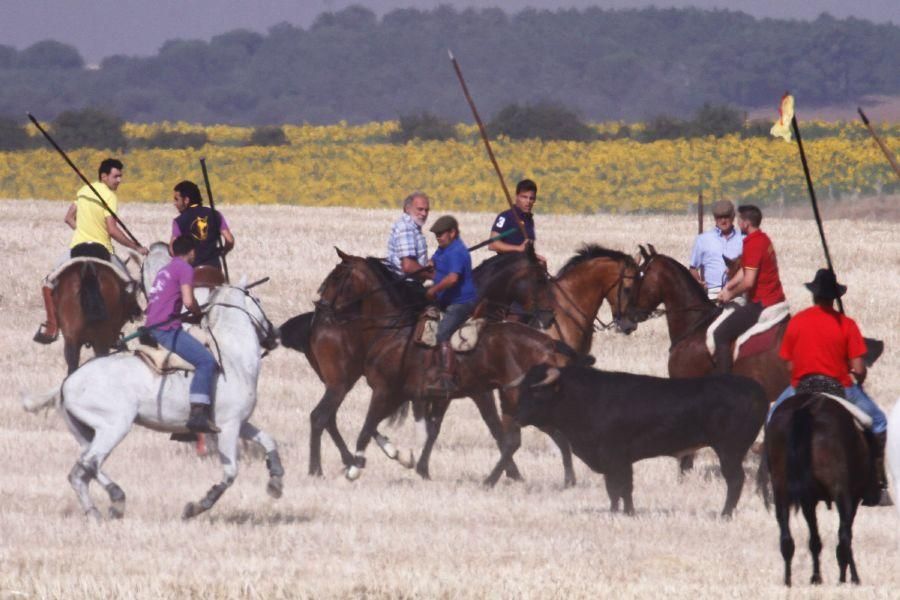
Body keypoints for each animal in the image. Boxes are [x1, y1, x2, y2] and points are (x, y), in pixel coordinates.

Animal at [24, 284, 284, 516]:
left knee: (82, 471)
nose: (275, 334)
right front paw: (197, 506)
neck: (233, 360)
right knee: (87, 465)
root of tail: (67, 383)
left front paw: (276, 482)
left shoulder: (240, 422)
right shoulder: (228, 425)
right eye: (257, 299)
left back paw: (99, 510)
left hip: (86, 432)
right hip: (114, 426)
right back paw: (115, 501)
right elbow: (230, 473)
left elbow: (268, 440)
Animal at [516, 364, 764, 516]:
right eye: (522, 388)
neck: (588, 398)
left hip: (730, 451)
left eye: (536, 391)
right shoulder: (613, 460)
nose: (515, 414)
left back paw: (725, 514)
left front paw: (623, 513)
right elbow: (617, 489)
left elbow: (621, 487)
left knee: (735, 480)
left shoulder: (615, 456)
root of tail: (754, 388)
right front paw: (619, 512)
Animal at [760, 394, 880, 584]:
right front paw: (850, 577)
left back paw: (789, 580)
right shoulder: (852, 497)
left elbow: (814, 541)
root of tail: (805, 408)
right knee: (844, 538)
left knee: (788, 539)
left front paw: (816, 577)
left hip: (782, 491)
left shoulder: (808, 501)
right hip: (841, 493)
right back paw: (845, 579)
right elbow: (845, 534)